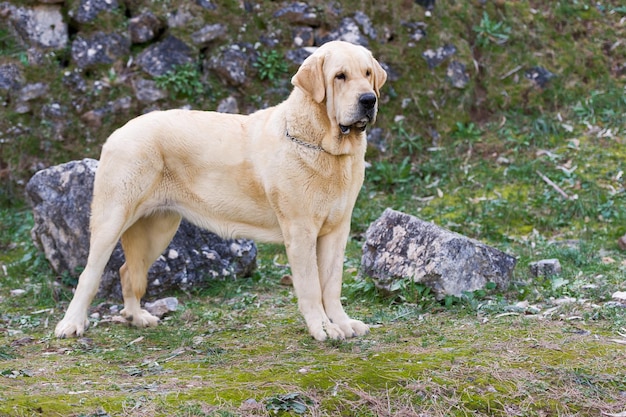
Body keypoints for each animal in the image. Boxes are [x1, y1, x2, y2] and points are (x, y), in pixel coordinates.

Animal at [54, 40, 386, 342]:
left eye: (367, 73)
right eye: (340, 76)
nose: (368, 100)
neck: (324, 146)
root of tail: (119, 131)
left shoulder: (337, 230)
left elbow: (331, 283)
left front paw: (342, 323)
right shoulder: (300, 230)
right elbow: (311, 286)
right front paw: (323, 328)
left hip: (158, 229)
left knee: (128, 272)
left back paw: (137, 317)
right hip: (112, 218)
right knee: (89, 274)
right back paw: (71, 324)